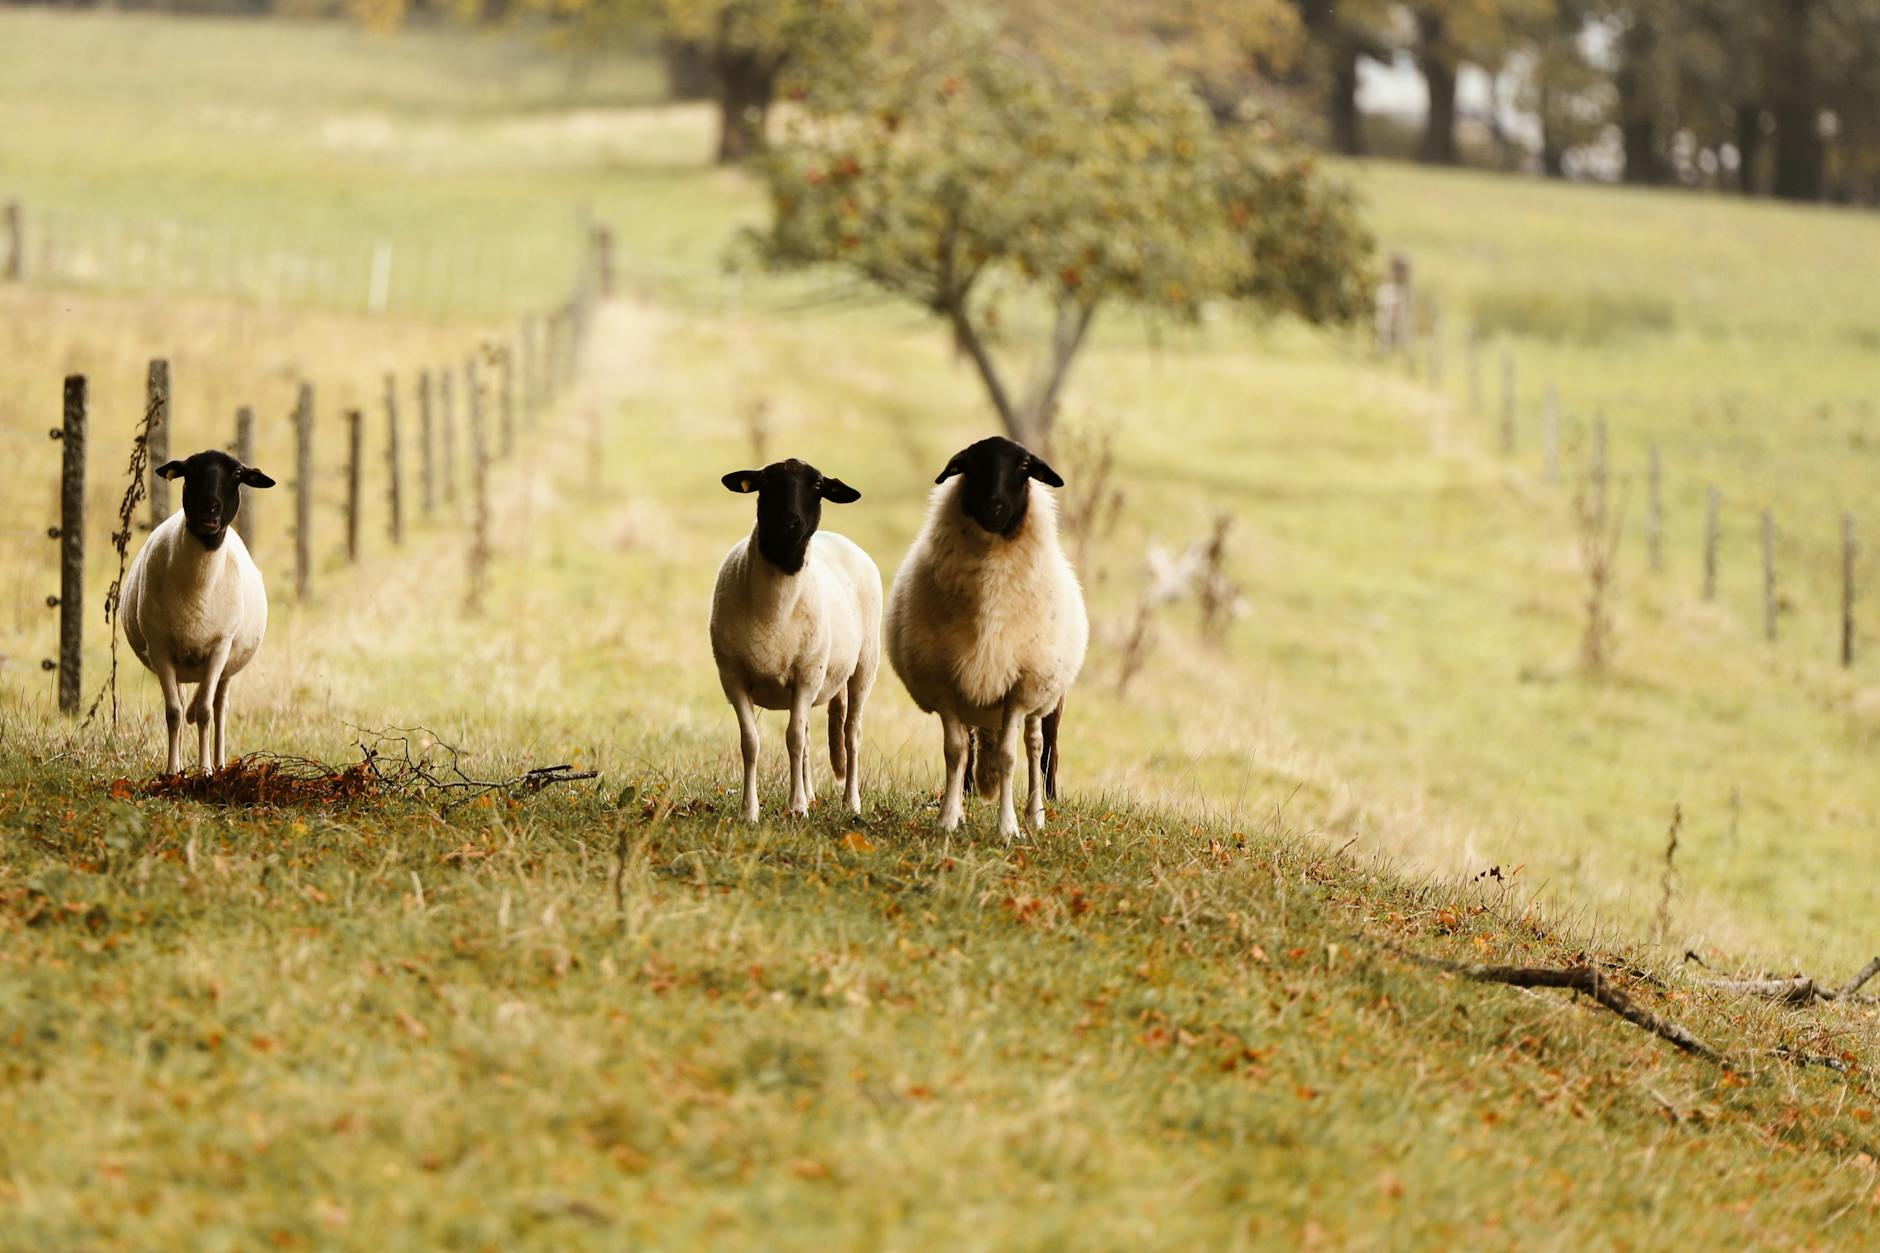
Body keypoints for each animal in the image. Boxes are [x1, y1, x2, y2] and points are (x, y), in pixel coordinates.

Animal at [121, 450, 276, 775]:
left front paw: (205, 771)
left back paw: (219, 764)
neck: (197, 590)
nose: (209, 509)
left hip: (227, 666)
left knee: (219, 708)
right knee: (181, 704)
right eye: (189, 471)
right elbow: (173, 712)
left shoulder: (219, 647)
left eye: (237, 474)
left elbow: (204, 712)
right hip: (178, 664)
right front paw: (172, 772)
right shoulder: (160, 648)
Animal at [709, 459, 882, 822]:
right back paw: (812, 793)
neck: (774, 612)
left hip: (864, 665)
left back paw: (850, 802)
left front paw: (797, 807)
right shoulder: (733, 678)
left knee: (851, 734)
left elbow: (792, 740)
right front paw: (750, 811)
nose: (791, 523)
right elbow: (752, 742)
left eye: (817, 486)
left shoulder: (806, 676)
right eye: (766, 482)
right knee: (806, 733)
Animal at [886, 435, 1089, 840]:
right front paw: (949, 818)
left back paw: (1035, 812)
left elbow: (1011, 757)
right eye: (971, 464)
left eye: (1025, 466)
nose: (996, 506)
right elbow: (955, 752)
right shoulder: (947, 684)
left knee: (1037, 748)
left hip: (1044, 697)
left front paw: (1008, 827)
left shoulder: (1019, 687)